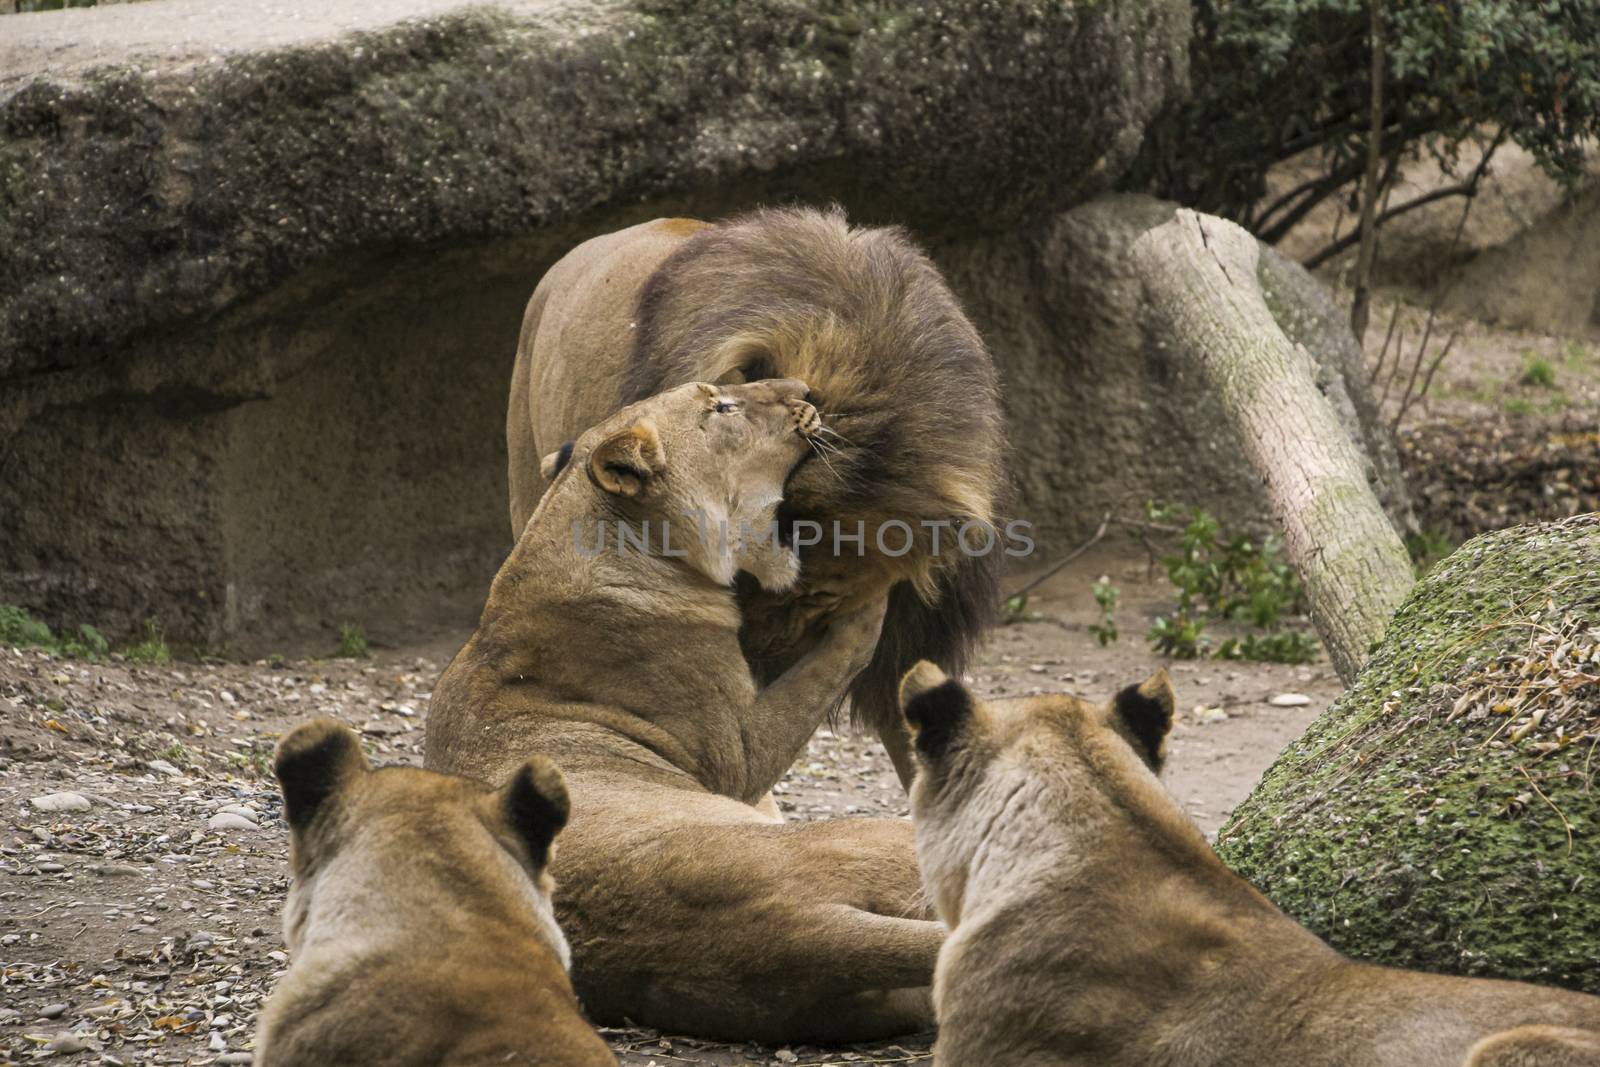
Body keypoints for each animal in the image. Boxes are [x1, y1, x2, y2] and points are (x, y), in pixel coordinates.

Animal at [432, 379, 940, 1036]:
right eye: (721, 408)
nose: (805, 389)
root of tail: (781, 935)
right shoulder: (738, 754)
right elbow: (828, 665)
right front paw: (874, 583)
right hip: (874, 838)